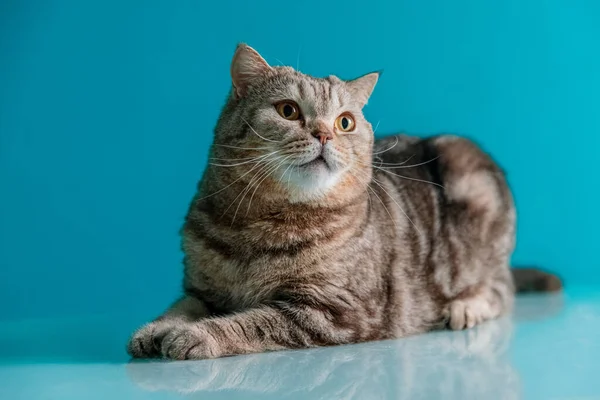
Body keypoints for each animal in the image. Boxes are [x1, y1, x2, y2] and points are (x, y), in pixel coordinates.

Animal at [126, 43, 564, 360]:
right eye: (288, 111)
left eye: (345, 122)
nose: (324, 134)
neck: (257, 228)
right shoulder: (201, 290)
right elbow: (178, 307)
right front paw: (154, 329)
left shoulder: (330, 310)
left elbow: (248, 322)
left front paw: (193, 336)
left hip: (470, 179)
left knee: (501, 286)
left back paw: (466, 307)